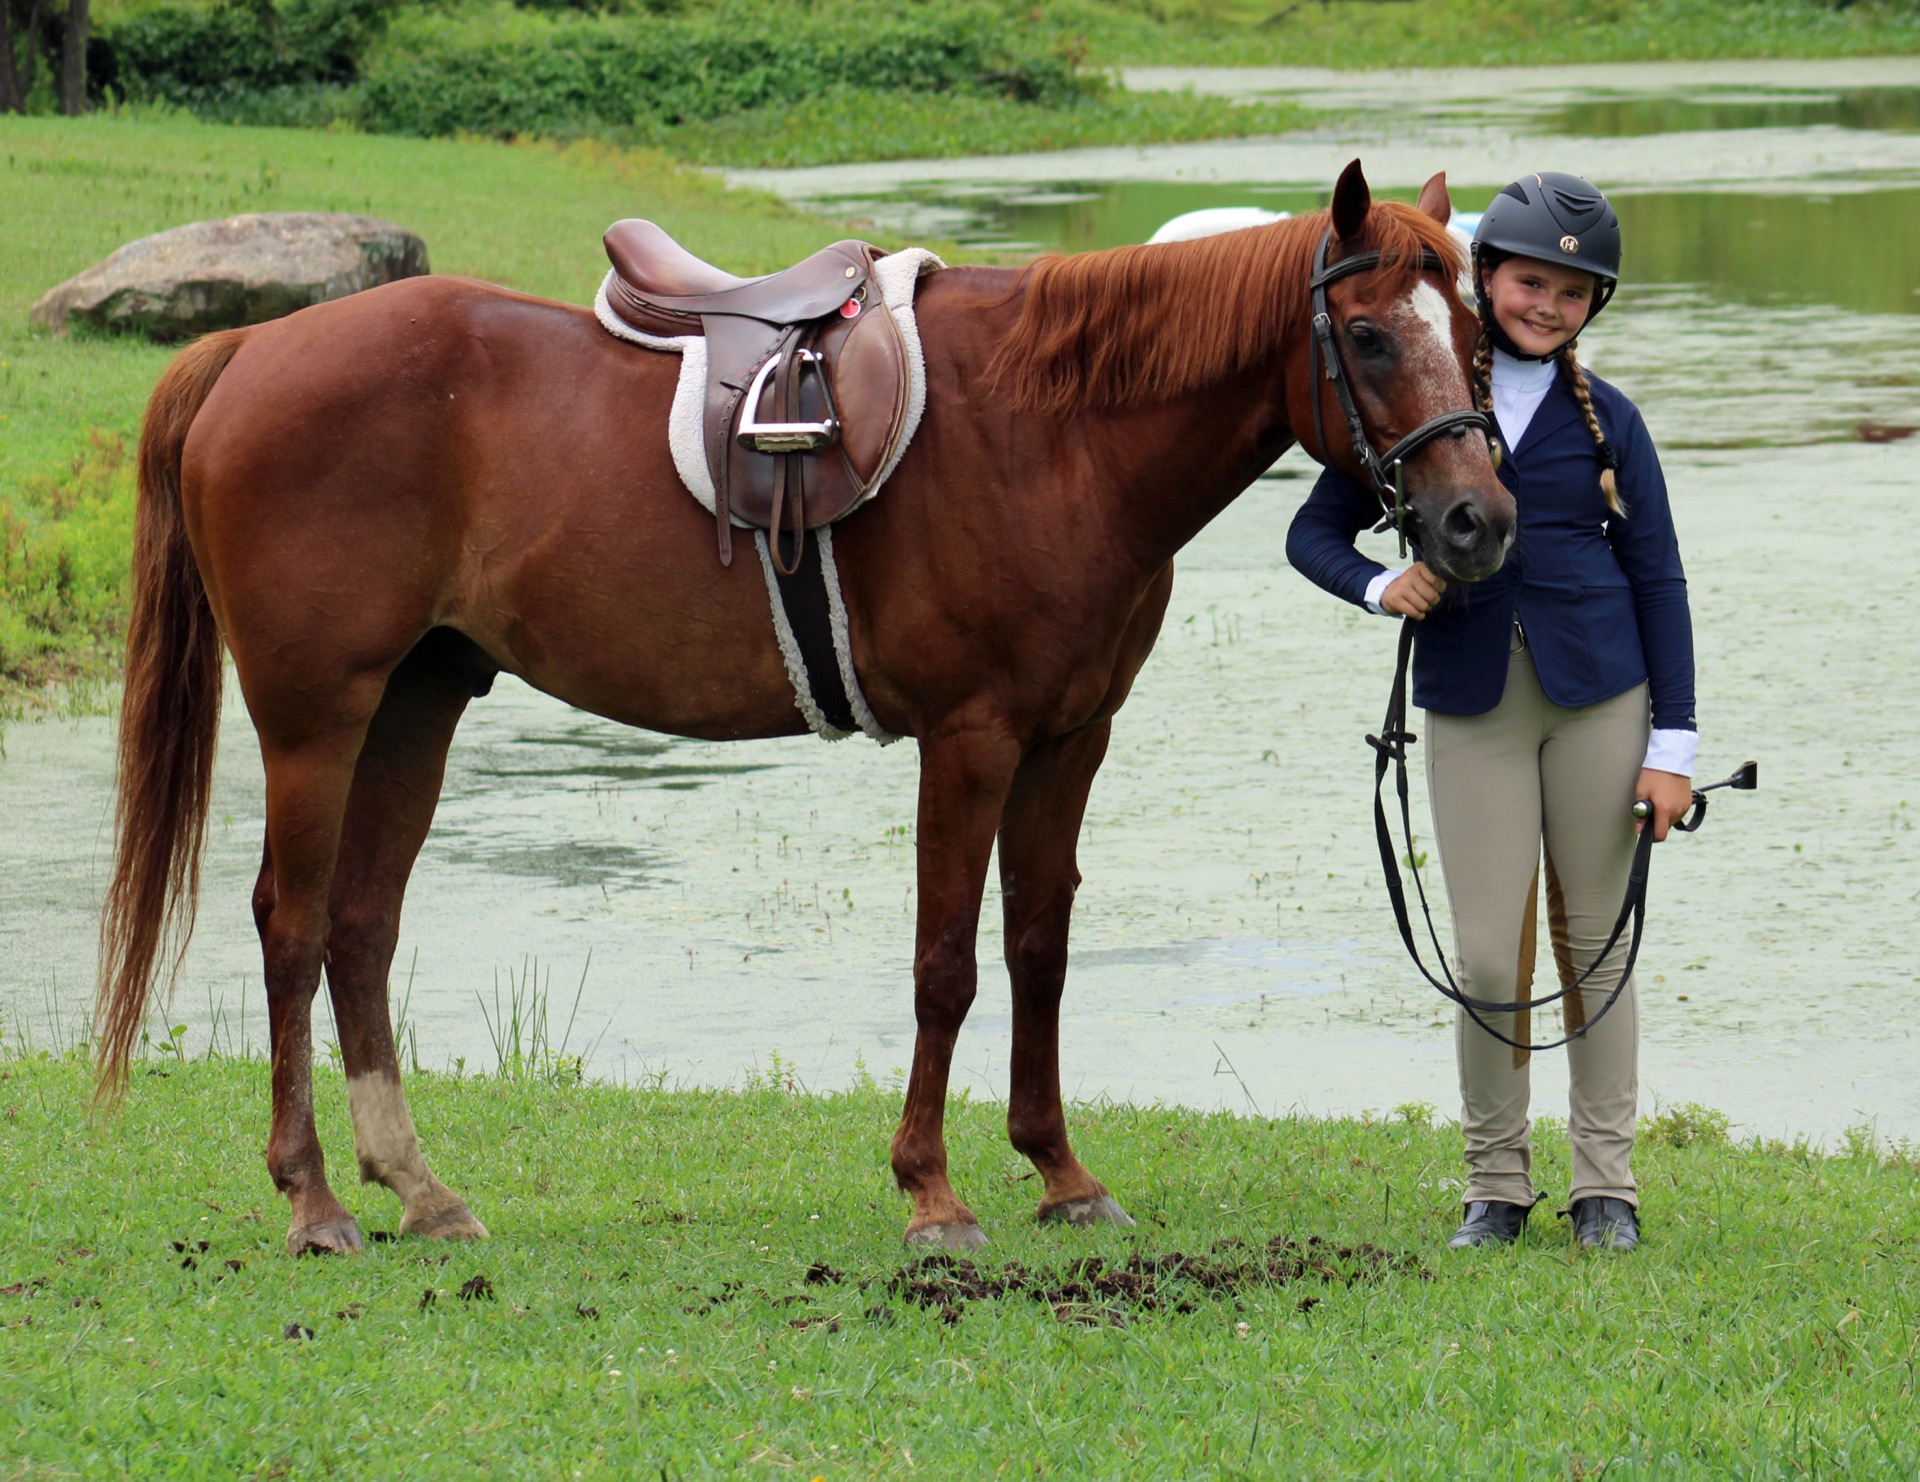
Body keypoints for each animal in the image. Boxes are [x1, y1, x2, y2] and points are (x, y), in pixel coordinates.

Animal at [96, 160, 1513, 1255]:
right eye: (1371, 336)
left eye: (1483, 337)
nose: (1476, 522)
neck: (1050, 432)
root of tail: (250, 348)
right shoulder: (972, 738)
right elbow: (946, 962)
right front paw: (932, 1194)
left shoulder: (1070, 737)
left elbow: (1038, 948)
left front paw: (1061, 1173)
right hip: (315, 718)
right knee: (289, 927)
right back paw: (314, 1201)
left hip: (414, 704)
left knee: (361, 928)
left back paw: (421, 1192)